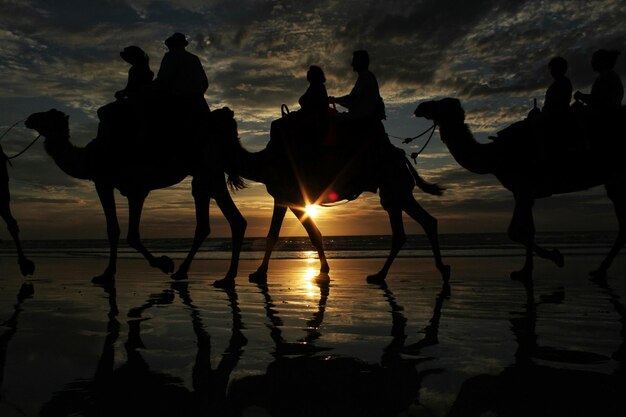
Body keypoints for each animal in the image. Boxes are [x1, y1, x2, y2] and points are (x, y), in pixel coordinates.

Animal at [23, 106, 246, 282]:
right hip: (211, 173)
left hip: (205, 169)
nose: (29, 118)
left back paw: (199, 273)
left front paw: (160, 264)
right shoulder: (129, 189)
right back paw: (217, 276)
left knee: (215, 220)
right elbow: (124, 232)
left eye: (47, 115)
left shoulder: (117, 185)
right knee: (230, 220)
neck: (87, 158)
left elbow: (121, 232)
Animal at [223, 111, 448, 282]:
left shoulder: (286, 195)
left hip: (394, 187)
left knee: (415, 225)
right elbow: (307, 233)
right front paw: (323, 270)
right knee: (418, 225)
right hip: (394, 191)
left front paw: (259, 273)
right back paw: (387, 274)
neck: (264, 162)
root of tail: (401, 155)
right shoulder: (289, 198)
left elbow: (279, 235)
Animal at [412, 97, 620, 278]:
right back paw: (600, 269)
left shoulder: (523, 189)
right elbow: (527, 229)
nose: (420, 107)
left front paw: (550, 259)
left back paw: (600, 269)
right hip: (614, 180)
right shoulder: (524, 192)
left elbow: (516, 231)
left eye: (439, 104)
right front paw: (529, 268)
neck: (494, 157)